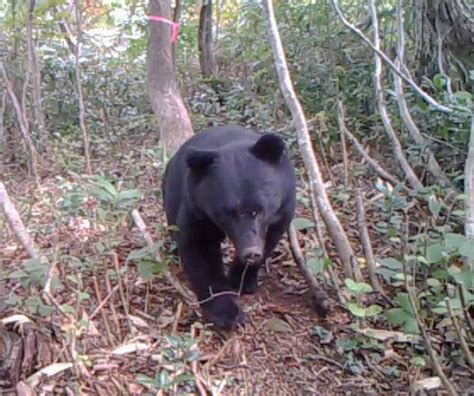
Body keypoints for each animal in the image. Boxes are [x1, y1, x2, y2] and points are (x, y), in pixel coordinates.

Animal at [163, 125, 296, 330]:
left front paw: (243, 281)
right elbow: (200, 251)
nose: (251, 252)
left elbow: (271, 238)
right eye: (228, 213)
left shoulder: (284, 205)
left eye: (259, 210)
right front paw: (228, 312)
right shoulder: (197, 210)